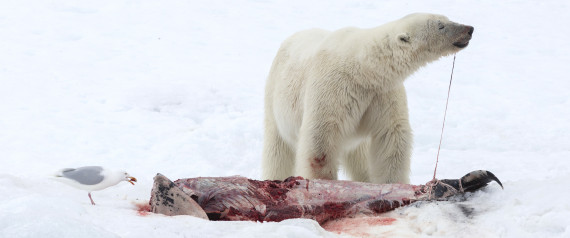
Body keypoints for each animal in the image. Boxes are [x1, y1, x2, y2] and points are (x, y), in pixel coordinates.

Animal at [260, 13, 470, 184]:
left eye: (447, 18)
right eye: (440, 25)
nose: (469, 29)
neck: (363, 69)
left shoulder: (382, 93)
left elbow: (391, 136)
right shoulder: (332, 89)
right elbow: (320, 140)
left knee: (359, 157)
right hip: (275, 97)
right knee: (277, 151)